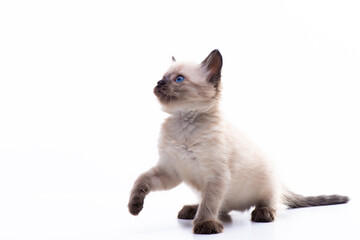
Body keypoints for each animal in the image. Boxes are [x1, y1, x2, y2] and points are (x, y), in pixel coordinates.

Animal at [128, 49, 350, 234]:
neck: (182, 123)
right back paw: (192, 209)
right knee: (222, 208)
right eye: (163, 77)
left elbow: (209, 204)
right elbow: (141, 179)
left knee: (269, 202)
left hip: (267, 179)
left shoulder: (216, 176)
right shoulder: (171, 170)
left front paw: (205, 224)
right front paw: (134, 206)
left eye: (179, 79)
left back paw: (262, 213)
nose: (159, 83)